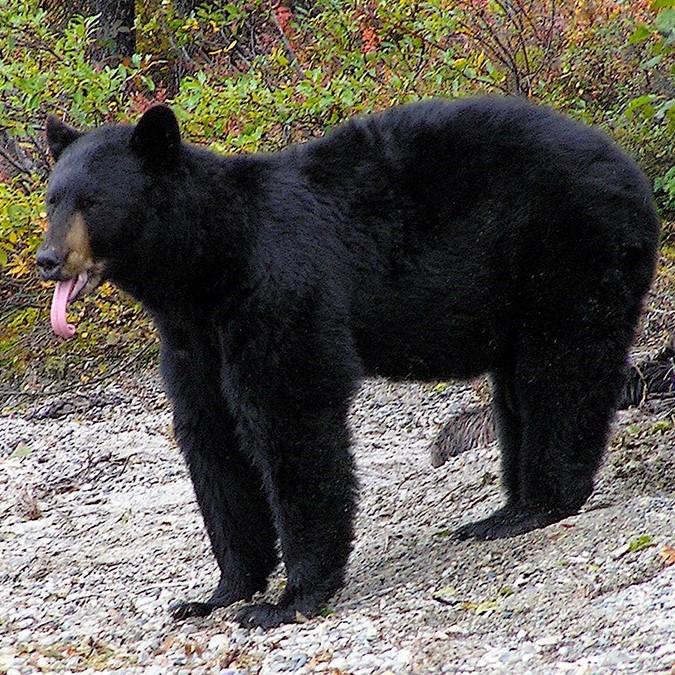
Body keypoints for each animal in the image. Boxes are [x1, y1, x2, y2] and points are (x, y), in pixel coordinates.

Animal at [37, 97, 659, 628]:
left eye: (93, 201)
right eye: (53, 198)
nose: (48, 259)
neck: (205, 266)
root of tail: (631, 170)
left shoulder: (279, 291)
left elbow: (292, 418)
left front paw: (288, 599)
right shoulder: (193, 339)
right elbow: (210, 438)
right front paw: (219, 592)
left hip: (568, 249)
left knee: (560, 370)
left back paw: (542, 504)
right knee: (519, 389)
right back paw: (505, 512)